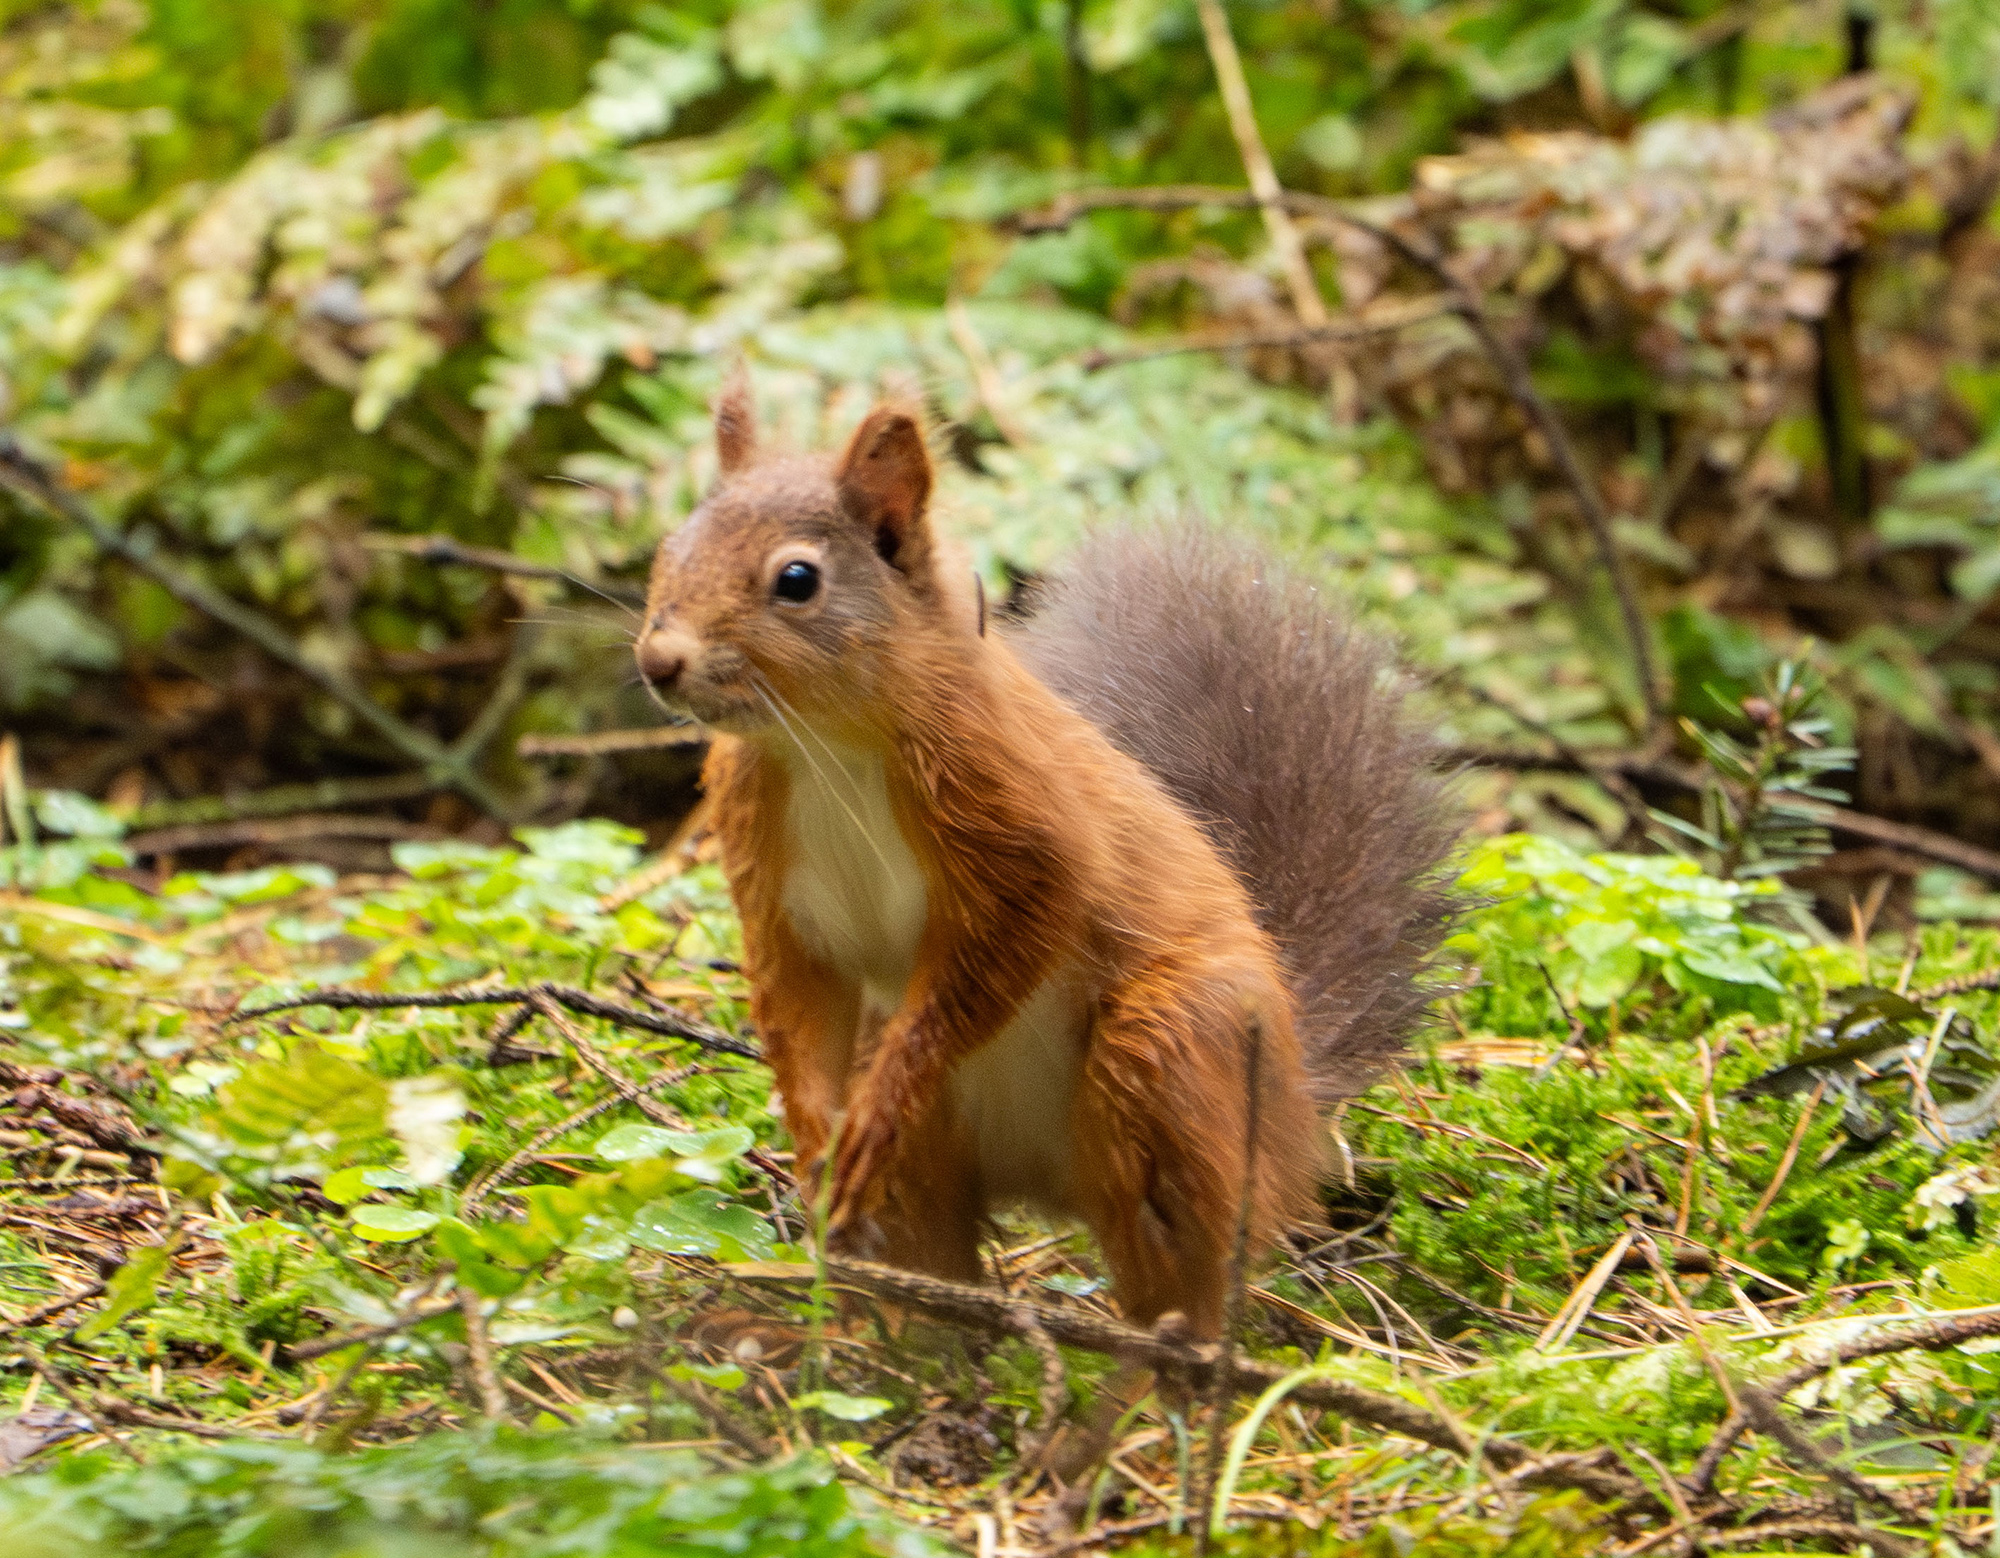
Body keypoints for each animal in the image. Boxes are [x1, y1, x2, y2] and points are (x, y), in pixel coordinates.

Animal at [635, 374, 1459, 1337]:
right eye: (670, 547)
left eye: (796, 579)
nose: (659, 660)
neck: (825, 742)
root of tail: (1291, 1113)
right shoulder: (768, 869)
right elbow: (796, 997)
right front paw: (815, 1140)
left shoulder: (1017, 824)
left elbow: (1004, 946)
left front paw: (877, 1104)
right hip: (941, 1150)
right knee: (937, 1261)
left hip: (1173, 1049)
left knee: (1182, 1275)